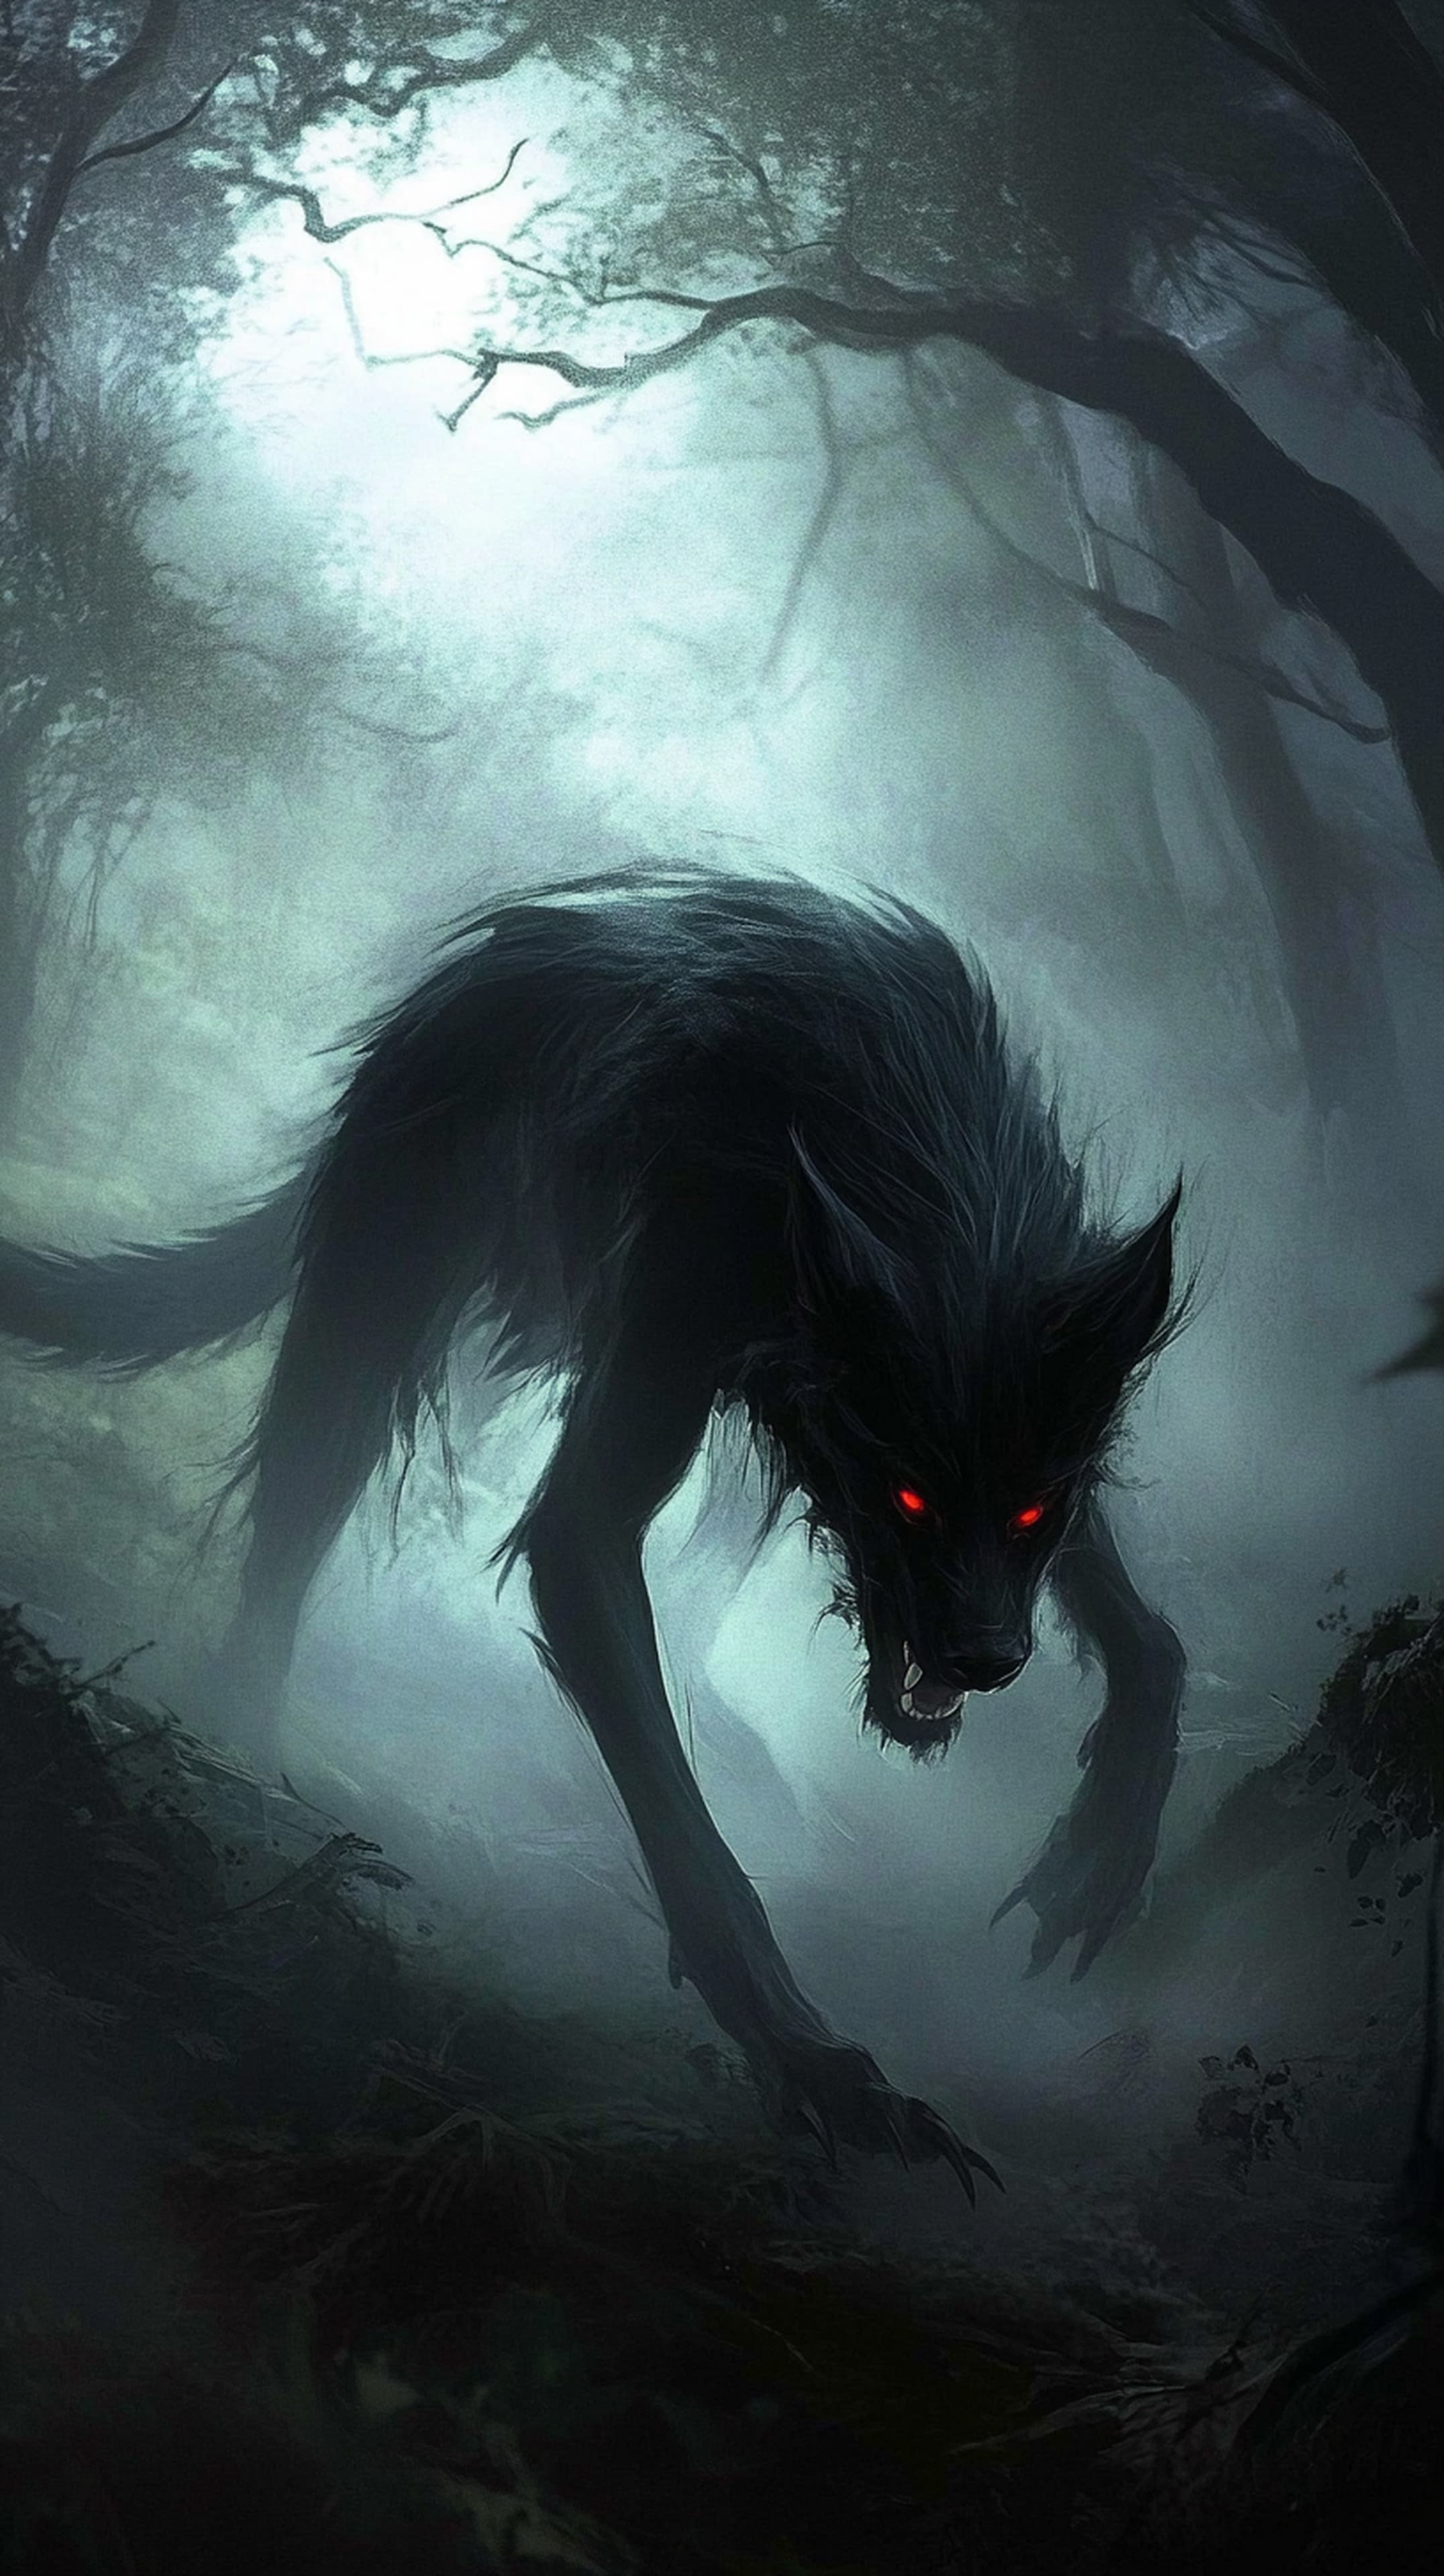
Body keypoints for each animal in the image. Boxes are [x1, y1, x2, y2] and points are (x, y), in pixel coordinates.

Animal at [0, 868, 1188, 2187]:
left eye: (1031, 1506)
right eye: (909, 1497)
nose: (986, 1660)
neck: (939, 1189)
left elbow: (1151, 1637)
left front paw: (1104, 1849)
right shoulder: (681, 1297)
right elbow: (677, 1807)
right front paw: (811, 2056)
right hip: (381, 1297)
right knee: (290, 1531)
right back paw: (247, 1742)